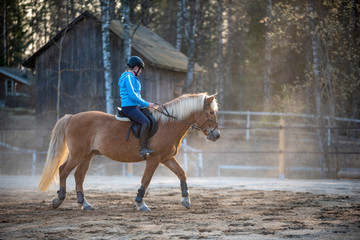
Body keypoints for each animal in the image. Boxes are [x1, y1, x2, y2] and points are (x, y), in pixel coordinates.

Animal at [38, 93, 219, 211]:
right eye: (211, 113)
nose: (216, 135)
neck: (168, 124)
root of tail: (72, 117)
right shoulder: (154, 159)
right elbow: (146, 180)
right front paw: (140, 203)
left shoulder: (166, 158)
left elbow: (182, 174)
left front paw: (186, 199)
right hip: (78, 154)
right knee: (63, 171)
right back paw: (59, 200)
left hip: (87, 155)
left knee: (79, 176)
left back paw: (85, 204)